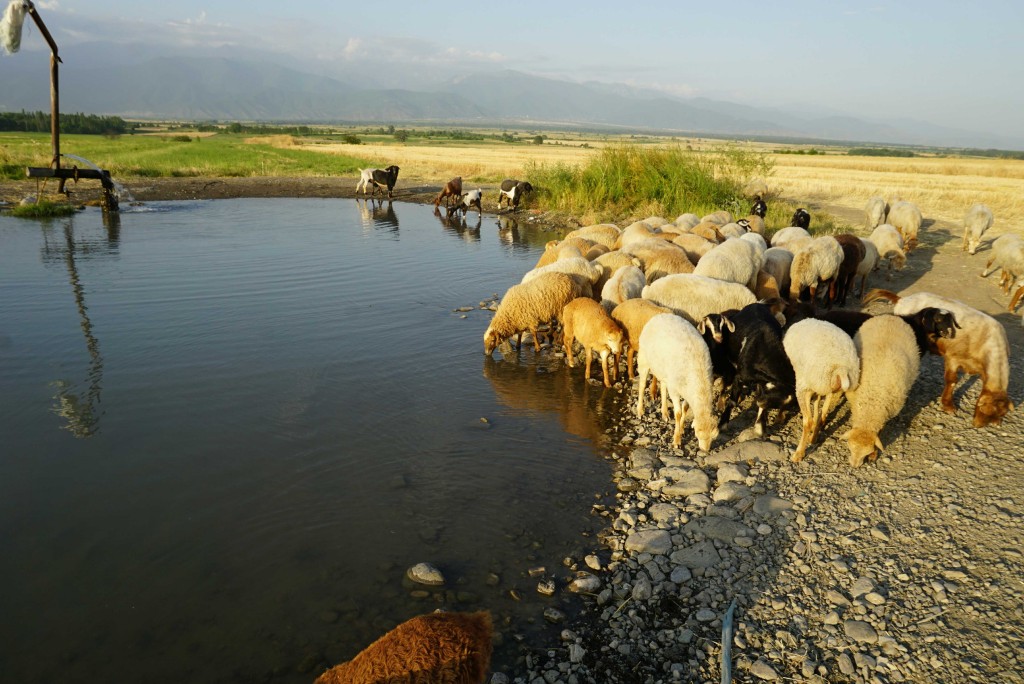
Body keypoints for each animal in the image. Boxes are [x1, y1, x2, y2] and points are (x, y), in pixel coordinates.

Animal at [630, 313, 720, 450]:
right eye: (697, 434)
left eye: (713, 437)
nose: (705, 451)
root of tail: (660, 315)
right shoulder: (675, 390)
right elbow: (678, 413)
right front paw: (677, 440)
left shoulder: (686, 390)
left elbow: (685, 408)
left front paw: (681, 429)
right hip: (644, 358)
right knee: (642, 385)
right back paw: (640, 410)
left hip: (664, 370)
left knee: (662, 386)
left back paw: (664, 412)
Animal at [786, 317, 860, 462]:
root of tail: (841, 368)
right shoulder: (820, 389)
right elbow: (818, 403)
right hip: (830, 387)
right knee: (823, 413)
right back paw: (813, 437)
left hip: (805, 384)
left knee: (808, 421)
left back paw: (799, 453)